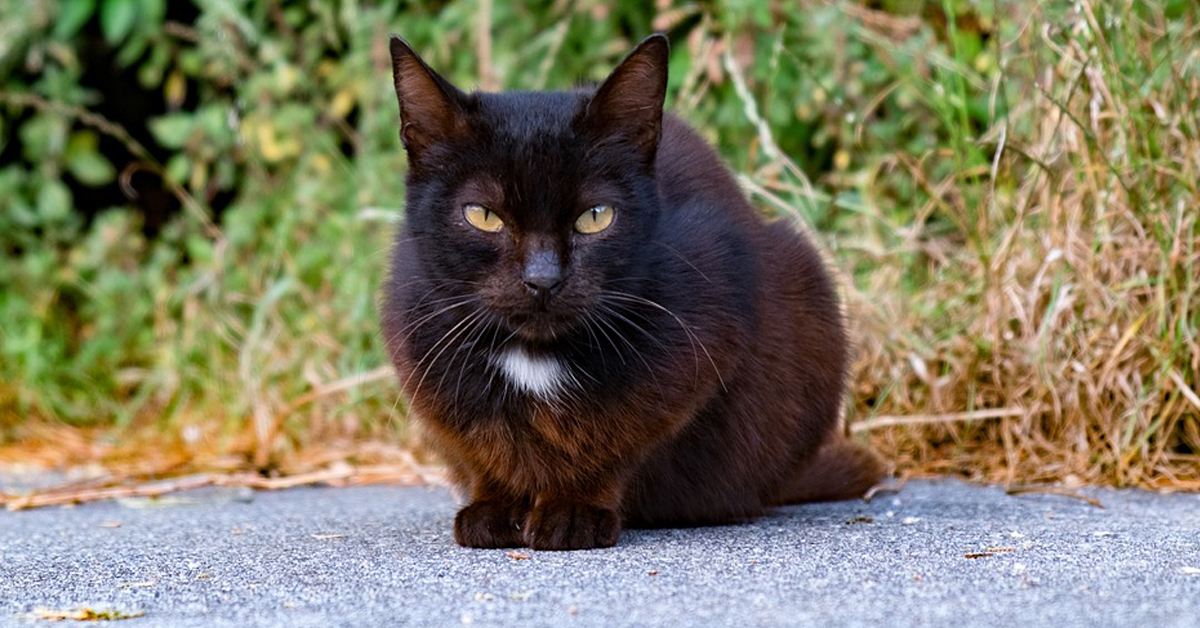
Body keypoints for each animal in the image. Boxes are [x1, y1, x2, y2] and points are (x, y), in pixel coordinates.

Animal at [379, 34, 888, 549]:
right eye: (483, 216)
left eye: (595, 216)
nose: (543, 279)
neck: (536, 355)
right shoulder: (423, 341)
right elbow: (485, 443)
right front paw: (496, 506)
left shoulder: (700, 340)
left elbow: (614, 437)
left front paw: (574, 508)